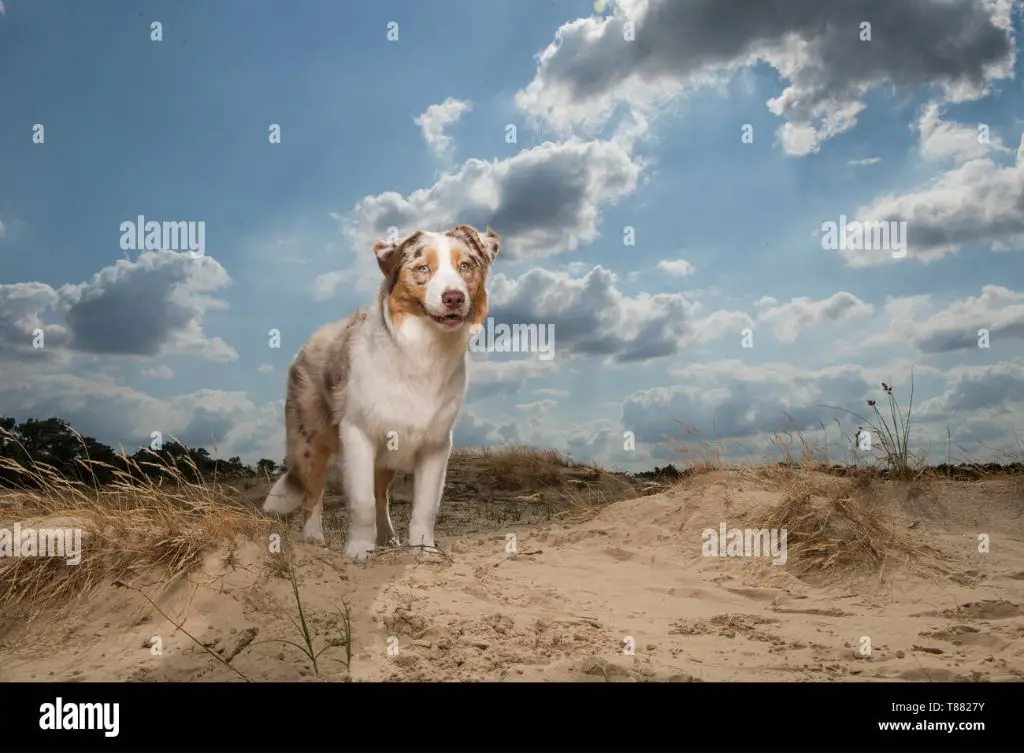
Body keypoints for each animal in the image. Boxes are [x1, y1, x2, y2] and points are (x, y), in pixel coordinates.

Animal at [262, 223, 497, 561]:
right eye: (423, 268)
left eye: (465, 265)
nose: (453, 298)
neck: (421, 351)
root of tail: (309, 342)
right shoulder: (357, 434)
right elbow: (361, 502)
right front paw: (359, 550)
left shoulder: (436, 445)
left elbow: (425, 506)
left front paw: (424, 550)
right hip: (311, 441)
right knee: (313, 493)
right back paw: (313, 537)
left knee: (381, 496)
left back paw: (386, 536)